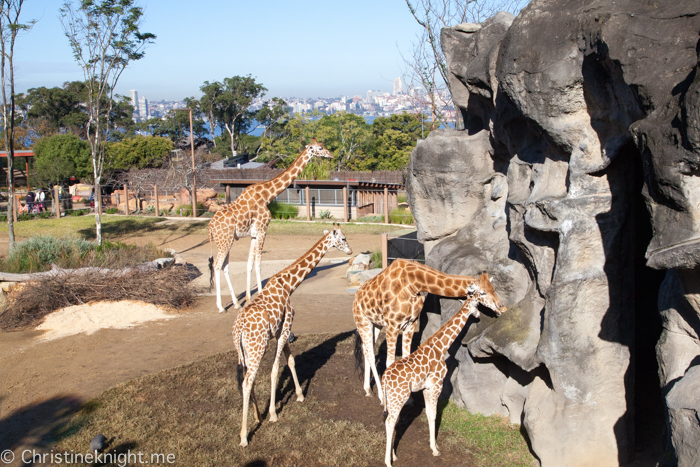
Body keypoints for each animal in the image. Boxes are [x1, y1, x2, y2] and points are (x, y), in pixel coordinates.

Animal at [206, 140, 332, 314]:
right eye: (320, 148)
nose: (330, 154)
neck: (267, 195)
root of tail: (210, 226)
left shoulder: (254, 233)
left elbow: (249, 263)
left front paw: (248, 299)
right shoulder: (263, 229)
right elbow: (258, 263)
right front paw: (259, 295)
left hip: (226, 241)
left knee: (225, 267)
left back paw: (236, 303)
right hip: (224, 240)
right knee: (217, 266)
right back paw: (220, 307)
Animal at [232, 225, 352, 448]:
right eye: (343, 238)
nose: (350, 251)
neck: (288, 285)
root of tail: (239, 330)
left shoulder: (283, 331)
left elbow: (291, 361)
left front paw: (299, 395)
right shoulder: (286, 328)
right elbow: (275, 369)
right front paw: (273, 414)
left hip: (243, 352)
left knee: (246, 379)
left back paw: (256, 417)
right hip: (257, 348)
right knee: (247, 381)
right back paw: (244, 436)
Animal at [356, 258, 482, 404]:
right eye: (485, 294)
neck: (414, 283)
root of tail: (356, 296)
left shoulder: (411, 323)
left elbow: (405, 358)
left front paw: (409, 399)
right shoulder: (393, 325)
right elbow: (390, 362)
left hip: (375, 324)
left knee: (366, 348)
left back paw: (367, 389)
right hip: (363, 321)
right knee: (370, 353)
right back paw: (381, 396)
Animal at [380, 272, 506, 466]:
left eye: (494, 289)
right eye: (483, 294)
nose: (501, 307)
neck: (441, 346)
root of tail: (384, 379)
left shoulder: (426, 387)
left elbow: (429, 414)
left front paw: (434, 446)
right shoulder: (436, 384)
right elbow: (433, 415)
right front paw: (435, 449)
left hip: (393, 398)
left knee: (393, 420)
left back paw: (393, 454)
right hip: (399, 396)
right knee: (389, 421)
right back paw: (388, 461)